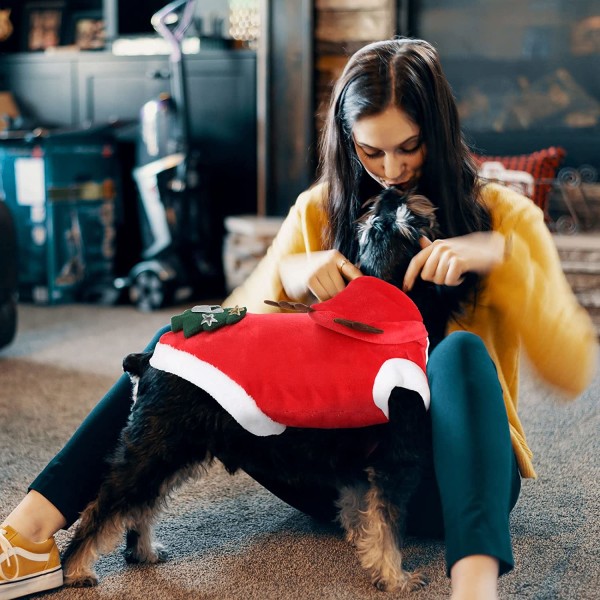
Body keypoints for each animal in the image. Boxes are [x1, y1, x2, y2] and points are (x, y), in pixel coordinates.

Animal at [62, 190, 446, 592]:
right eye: (408, 214)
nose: (390, 191)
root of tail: (147, 358)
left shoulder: (357, 466)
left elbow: (363, 512)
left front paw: (365, 550)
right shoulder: (396, 461)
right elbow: (388, 525)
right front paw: (395, 577)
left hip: (174, 454)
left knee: (141, 507)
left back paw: (143, 552)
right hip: (156, 449)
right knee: (105, 507)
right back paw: (76, 568)